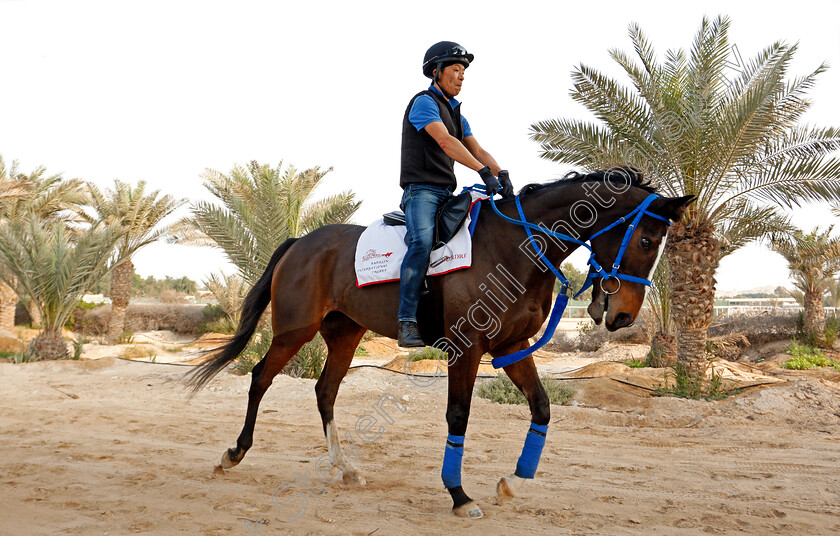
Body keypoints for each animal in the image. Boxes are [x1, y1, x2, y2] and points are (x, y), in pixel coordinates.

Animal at [190, 166, 696, 520]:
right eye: (646, 241)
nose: (623, 315)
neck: (516, 246)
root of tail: (299, 242)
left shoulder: (509, 348)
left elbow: (542, 408)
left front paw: (514, 482)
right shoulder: (466, 347)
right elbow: (458, 416)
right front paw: (458, 494)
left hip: (344, 335)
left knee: (325, 391)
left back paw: (345, 467)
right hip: (294, 331)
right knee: (260, 377)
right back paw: (233, 454)